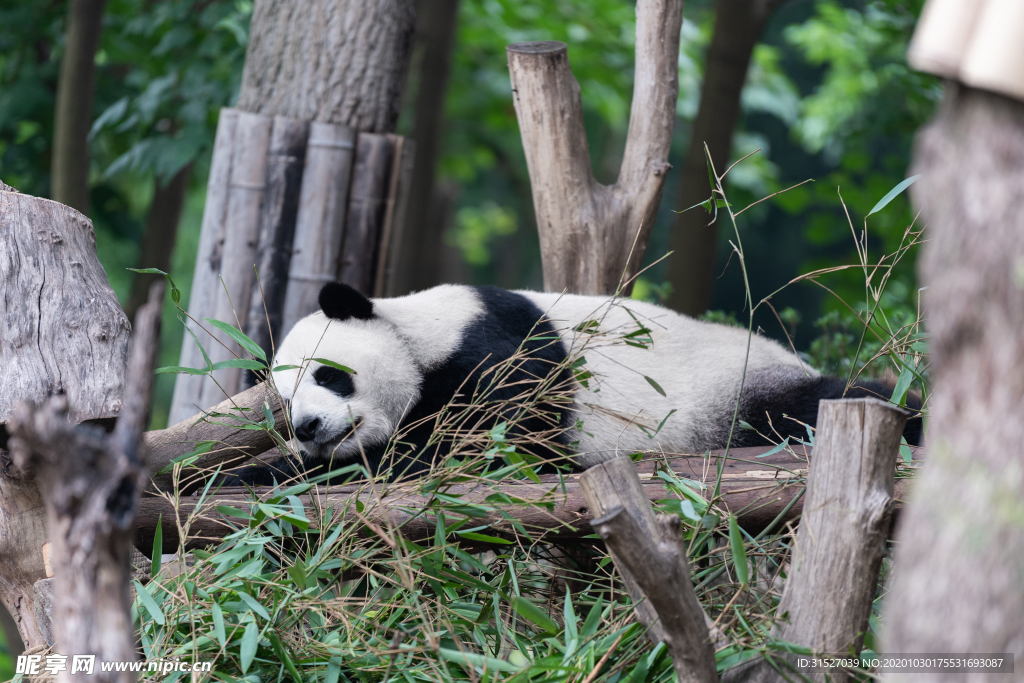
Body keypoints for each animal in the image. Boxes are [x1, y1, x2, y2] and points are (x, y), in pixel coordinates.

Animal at [230, 282, 921, 485]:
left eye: (331, 376)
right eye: (284, 403)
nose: (308, 427)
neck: (418, 334)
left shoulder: (494, 350)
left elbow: (481, 447)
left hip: (740, 390)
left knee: (820, 402)